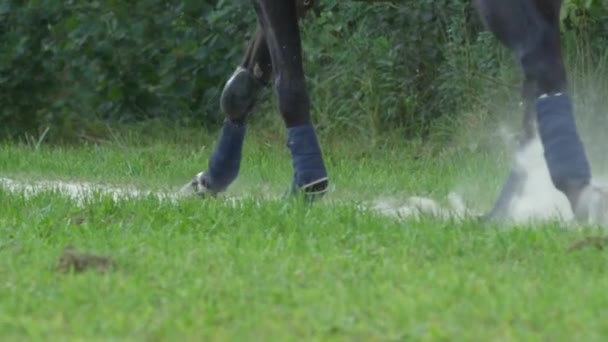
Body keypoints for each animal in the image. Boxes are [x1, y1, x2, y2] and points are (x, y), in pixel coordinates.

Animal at [183, 0, 604, 224]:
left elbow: (287, 84)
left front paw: (308, 186)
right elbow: (246, 83)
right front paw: (212, 178)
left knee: (541, 64)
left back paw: (573, 190)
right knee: (536, 83)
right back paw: (504, 210)